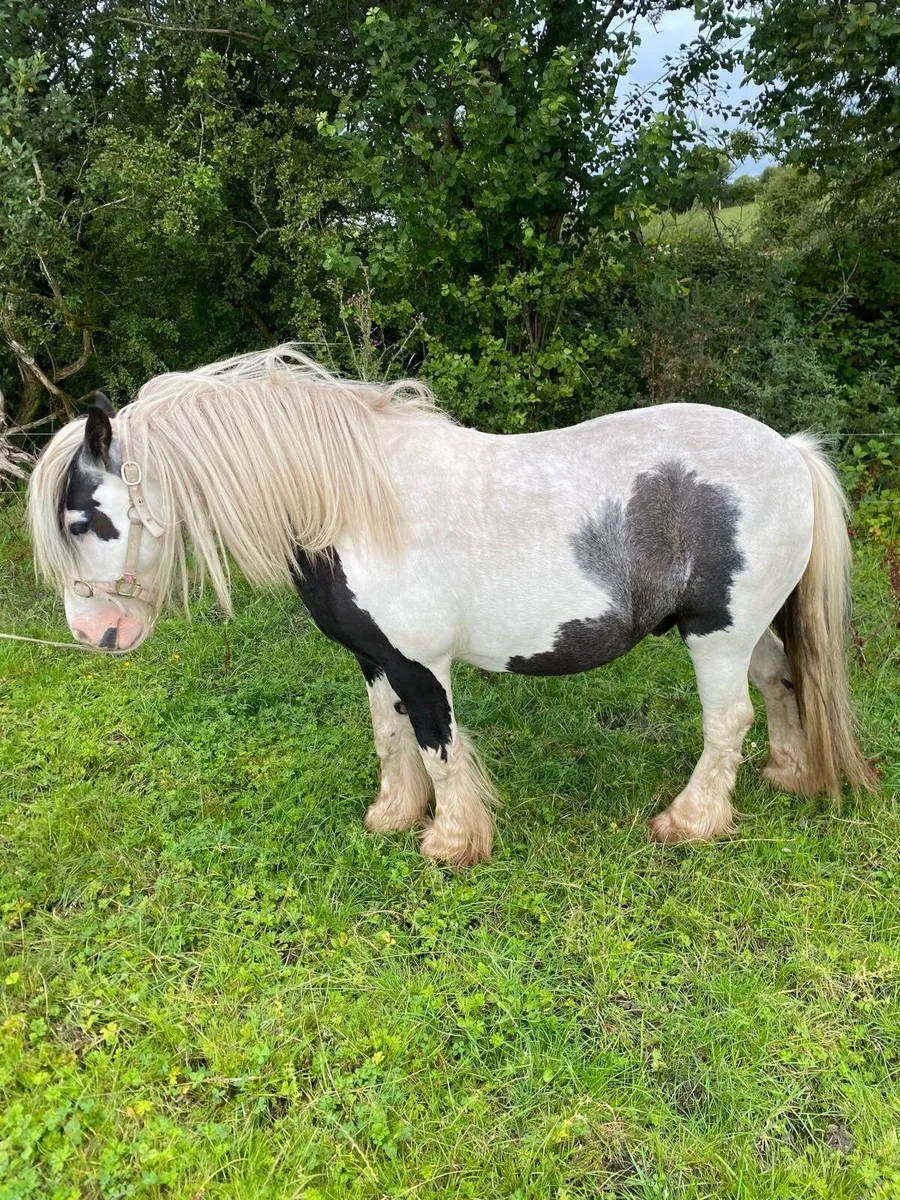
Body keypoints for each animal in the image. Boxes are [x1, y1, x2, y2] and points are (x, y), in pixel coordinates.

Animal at [26, 346, 876, 865]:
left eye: (83, 519)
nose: (95, 633)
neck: (351, 505)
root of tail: (789, 451)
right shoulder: (376, 660)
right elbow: (389, 735)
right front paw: (394, 815)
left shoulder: (421, 663)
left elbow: (438, 743)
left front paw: (453, 841)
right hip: (746, 629)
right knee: (780, 684)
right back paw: (789, 773)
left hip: (716, 635)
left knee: (728, 719)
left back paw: (691, 821)